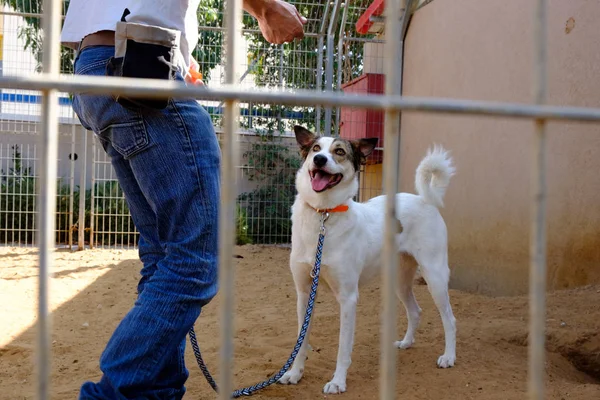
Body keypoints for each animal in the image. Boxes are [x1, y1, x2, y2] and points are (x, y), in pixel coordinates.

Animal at [278, 126, 458, 394]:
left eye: (339, 152)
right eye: (315, 149)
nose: (319, 160)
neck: (323, 216)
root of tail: (423, 199)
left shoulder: (348, 298)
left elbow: (343, 347)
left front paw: (338, 381)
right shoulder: (303, 293)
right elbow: (301, 340)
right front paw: (294, 373)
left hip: (434, 275)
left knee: (449, 319)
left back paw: (449, 356)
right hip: (400, 281)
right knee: (415, 311)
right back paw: (406, 342)